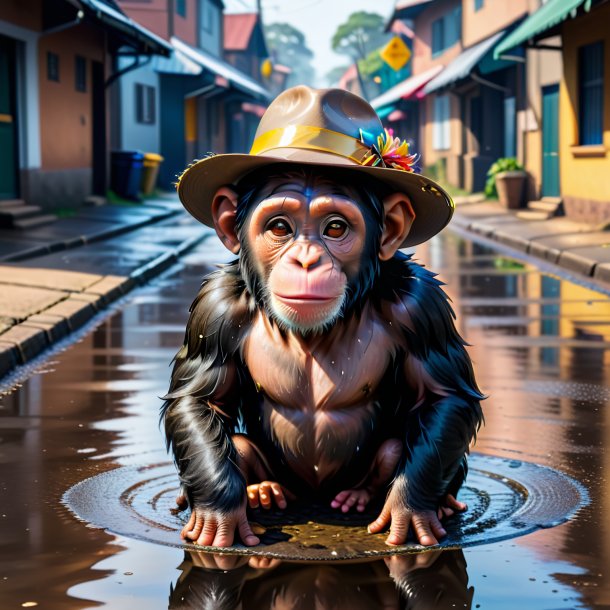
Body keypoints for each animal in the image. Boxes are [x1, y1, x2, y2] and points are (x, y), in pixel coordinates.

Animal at [160, 84, 480, 548]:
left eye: (335, 228)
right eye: (279, 227)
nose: (307, 259)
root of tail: (314, 498)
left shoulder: (421, 307)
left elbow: (444, 396)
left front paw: (412, 508)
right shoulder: (214, 309)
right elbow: (200, 400)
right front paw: (218, 511)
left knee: (395, 448)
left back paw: (379, 498)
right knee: (237, 444)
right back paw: (261, 491)